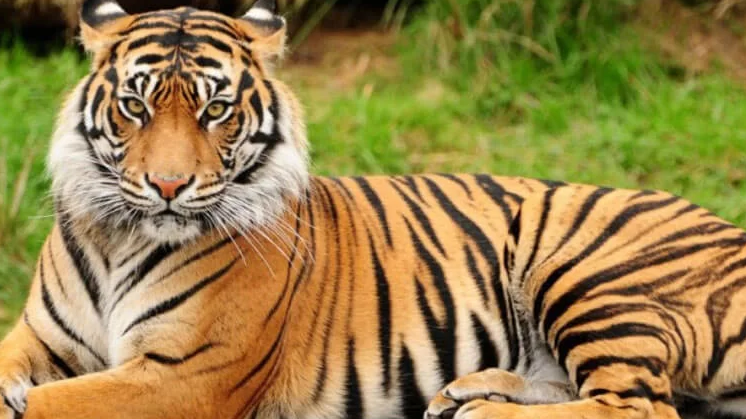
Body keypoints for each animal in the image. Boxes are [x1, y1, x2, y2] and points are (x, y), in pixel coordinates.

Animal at [1, 0, 746, 418]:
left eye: (215, 111)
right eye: (136, 106)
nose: (167, 185)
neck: (118, 236)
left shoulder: (183, 375)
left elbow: (43, 406)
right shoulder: (37, 338)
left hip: (583, 267)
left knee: (640, 406)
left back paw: (480, 413)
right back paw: (468, 392)